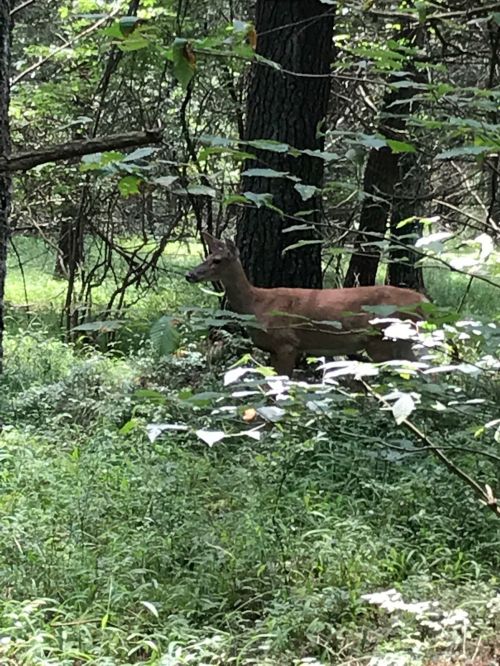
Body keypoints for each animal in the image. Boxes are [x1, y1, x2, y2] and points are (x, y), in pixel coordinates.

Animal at [185, 232, 428, 377]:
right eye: (207, 256)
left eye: (217, 260)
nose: (190, 275)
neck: (257, 304)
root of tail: (424, 302)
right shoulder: (274, 349)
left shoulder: (286, 343)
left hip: (383, 339)